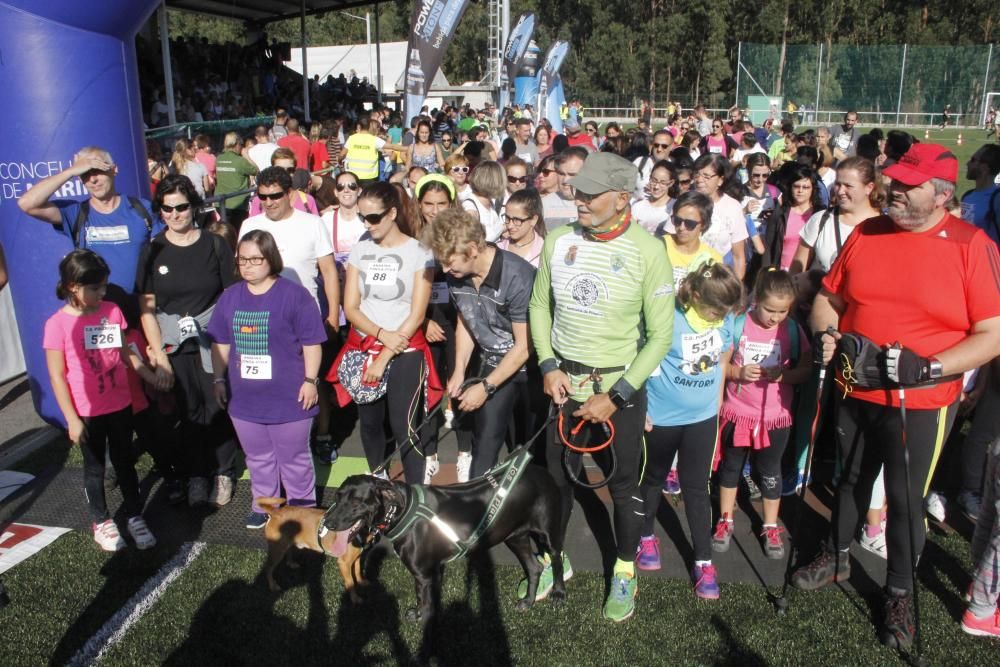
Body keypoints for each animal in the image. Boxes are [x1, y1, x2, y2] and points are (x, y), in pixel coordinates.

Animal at [326, 462, 568, 656]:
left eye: (356, 502)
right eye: (337, 497)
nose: (328, 522)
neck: (400, 510)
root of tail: (542, 471)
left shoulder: (425, 574)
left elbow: (429, 613)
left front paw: (427, 646)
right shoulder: (429, 573)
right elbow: (423, 601)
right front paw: (419, 613)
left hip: (548, 533)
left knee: (556, 558)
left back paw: (558, 593)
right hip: (515, 537)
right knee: (534, 567)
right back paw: (528, 601)